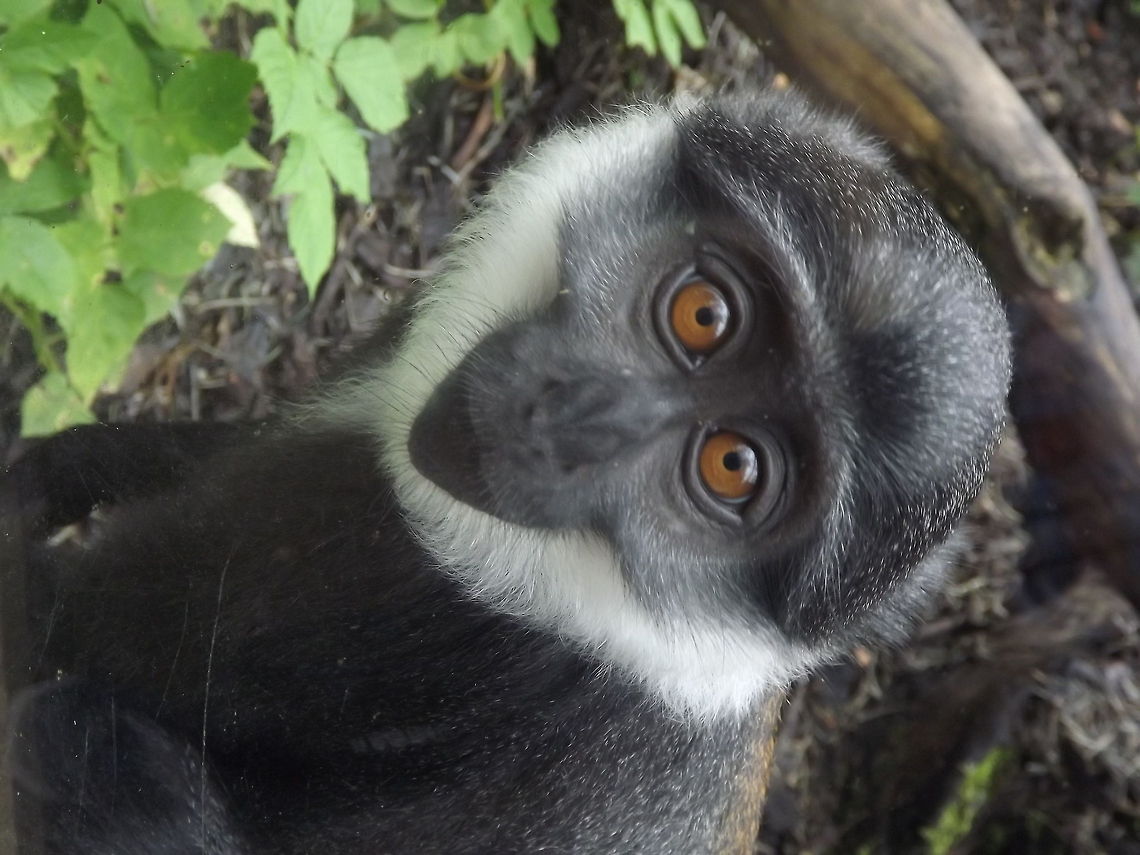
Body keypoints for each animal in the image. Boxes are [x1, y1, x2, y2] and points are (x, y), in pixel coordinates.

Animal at [0, 89, 1011, 854]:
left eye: (731, 468)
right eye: (704, 314)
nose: (575, 417)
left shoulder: (406, 602)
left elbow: (60, 631)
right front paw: (56, 467)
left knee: (72, 738)